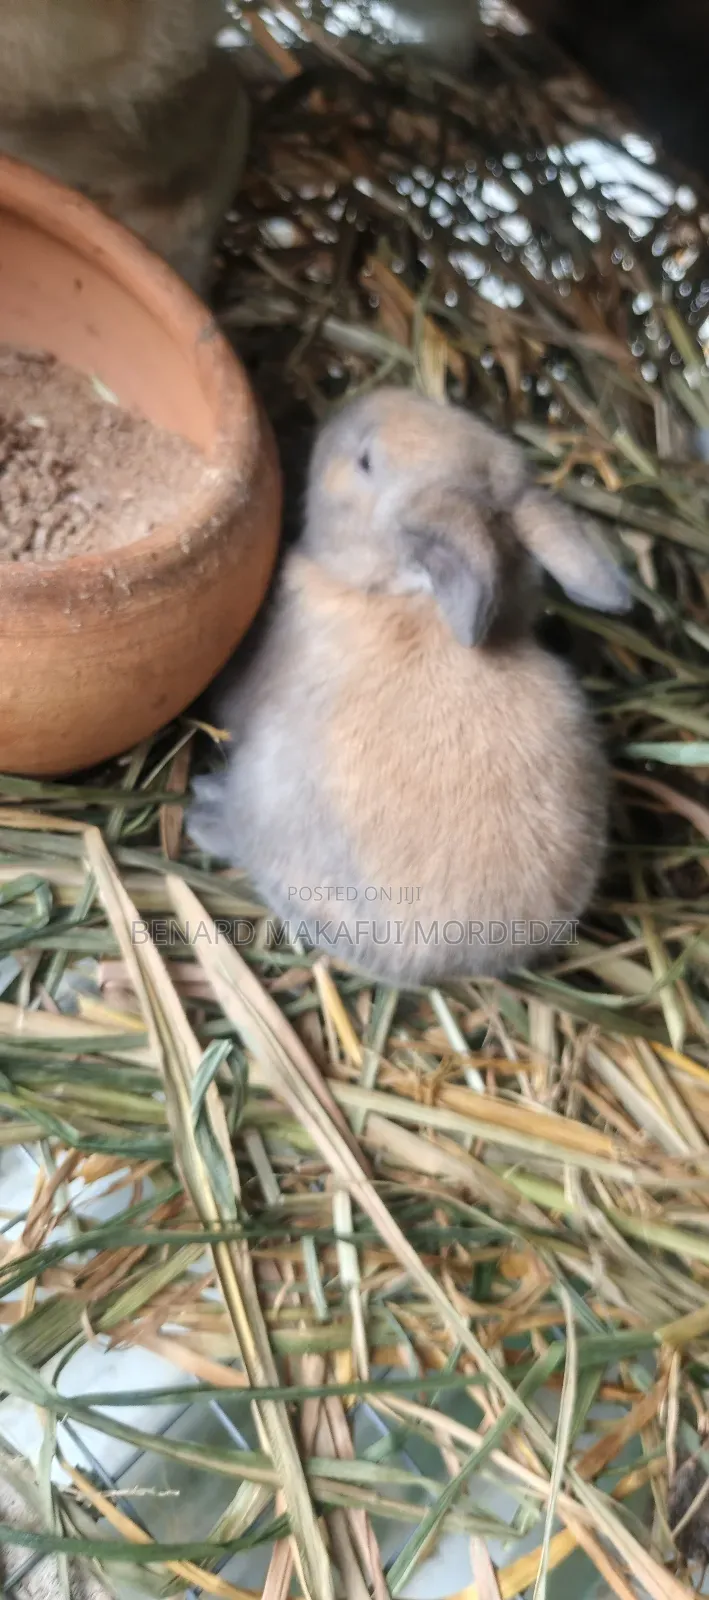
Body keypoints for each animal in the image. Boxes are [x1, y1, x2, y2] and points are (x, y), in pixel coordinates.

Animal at [188, 386, 631, 986]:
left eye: (367, 462)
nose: (347, 409)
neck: (403, 599)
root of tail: (457, 955)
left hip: (267, 793)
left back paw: (203, 811)